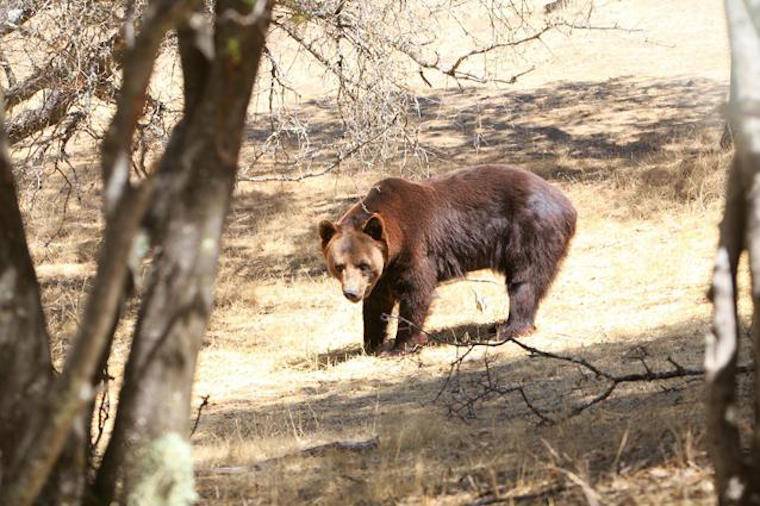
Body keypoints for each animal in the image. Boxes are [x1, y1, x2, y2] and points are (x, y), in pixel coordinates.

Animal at [318, 164, 576, 354]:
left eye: (363, 265)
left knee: (525, 280)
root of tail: (566, 204)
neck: (396, 237)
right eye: (339, 266)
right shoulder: (386, 270)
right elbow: (376, 302)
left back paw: (510, 327)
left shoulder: (416, 246)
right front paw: (371, 343)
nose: (351, 293)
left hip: (529, 231)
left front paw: (401, 345)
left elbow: (416, 291)